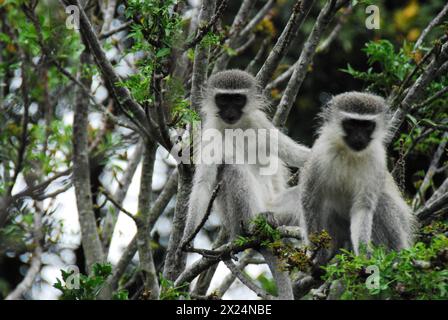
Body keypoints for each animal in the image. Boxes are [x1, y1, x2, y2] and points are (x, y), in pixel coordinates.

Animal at [298, 91, 416, 264]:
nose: (359, 138)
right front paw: (318, 254)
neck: (350, 154)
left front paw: (364, 254)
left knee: (382, 202)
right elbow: (311, 201)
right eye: (351, 124)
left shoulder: (377, 160)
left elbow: (363, 207)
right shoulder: (319, 155)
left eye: (367, 126)